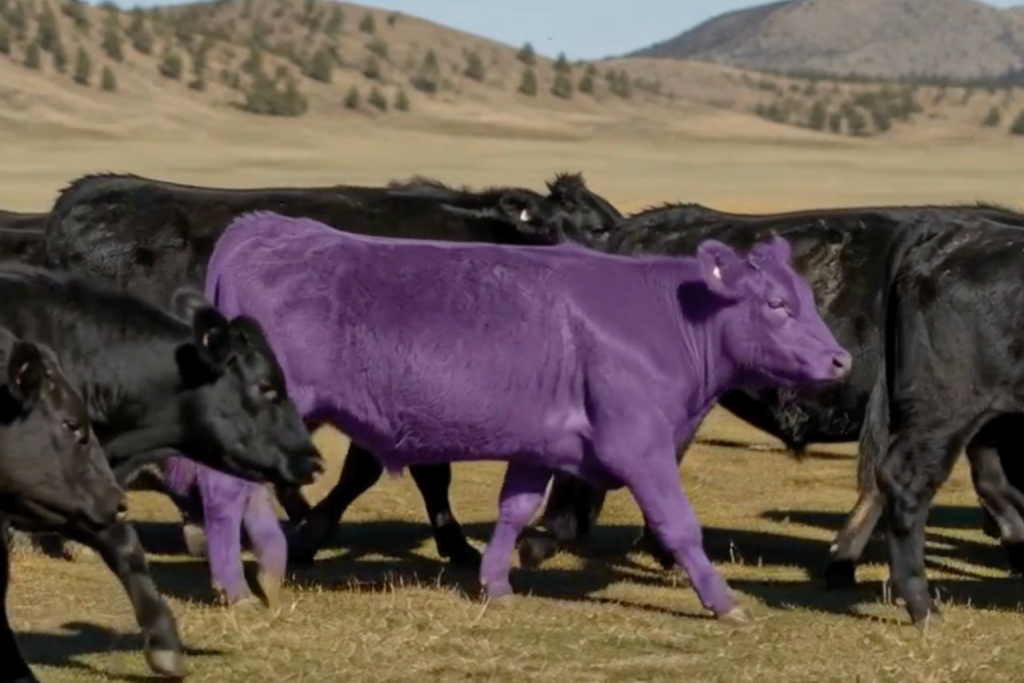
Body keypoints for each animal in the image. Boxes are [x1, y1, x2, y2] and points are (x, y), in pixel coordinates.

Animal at [203, 211, 852, 623]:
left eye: (807, 300)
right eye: (777, 304)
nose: (840, 359)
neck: (665, 319)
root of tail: (261, 228)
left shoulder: (540, 445)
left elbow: (514, 511)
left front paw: (496, 582)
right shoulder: (638, 446)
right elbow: (679, 525)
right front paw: (724, 601)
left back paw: (270, 569)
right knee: (222, 492)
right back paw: (236, 588)